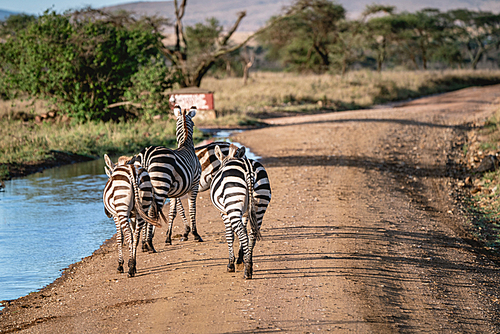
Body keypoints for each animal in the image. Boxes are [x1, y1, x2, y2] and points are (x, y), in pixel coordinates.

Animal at [128, 104, 202, 250]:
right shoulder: (194, 184)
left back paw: (144, 244)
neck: (186, 145)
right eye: (194, 124)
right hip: (160, 186)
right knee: (152, 212)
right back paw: (149, 244)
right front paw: (196, 234)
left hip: (144, 189)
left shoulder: (174, 192)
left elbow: (172, 212)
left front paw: (168, 238)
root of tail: (145, 155)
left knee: (144, 213)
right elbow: (192, 209)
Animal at [209, 144, 272, 280]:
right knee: (252, 233)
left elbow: (230, 235)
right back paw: (249, 264)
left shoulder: (224, 213)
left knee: (242, 233)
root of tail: (248, 167)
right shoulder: (246, 214)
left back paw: (247, 271)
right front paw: (240, 260)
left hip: (233, 201)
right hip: (260, 203)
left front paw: (231, 264)